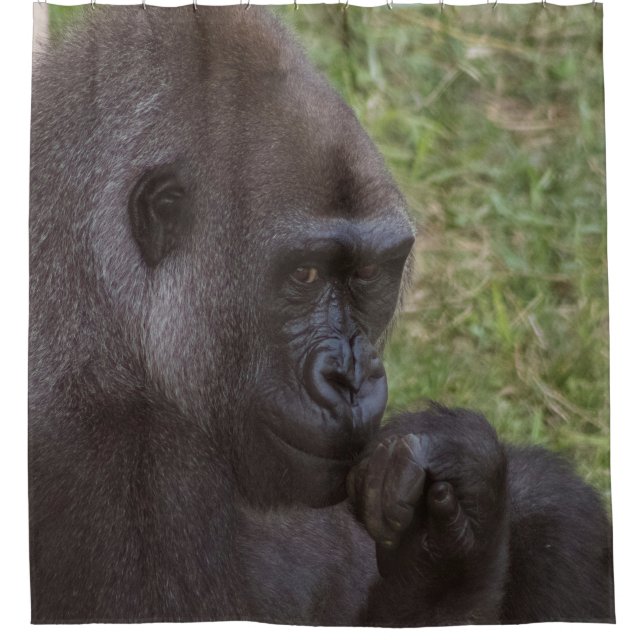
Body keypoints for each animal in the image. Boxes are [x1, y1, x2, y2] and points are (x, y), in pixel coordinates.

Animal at [29, 5, 614, 624]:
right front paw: (448, 551)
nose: (351, 376)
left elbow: (554, 504)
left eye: (367, 274)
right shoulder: (109, 465)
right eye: (304, 275)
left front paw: (473, 476)